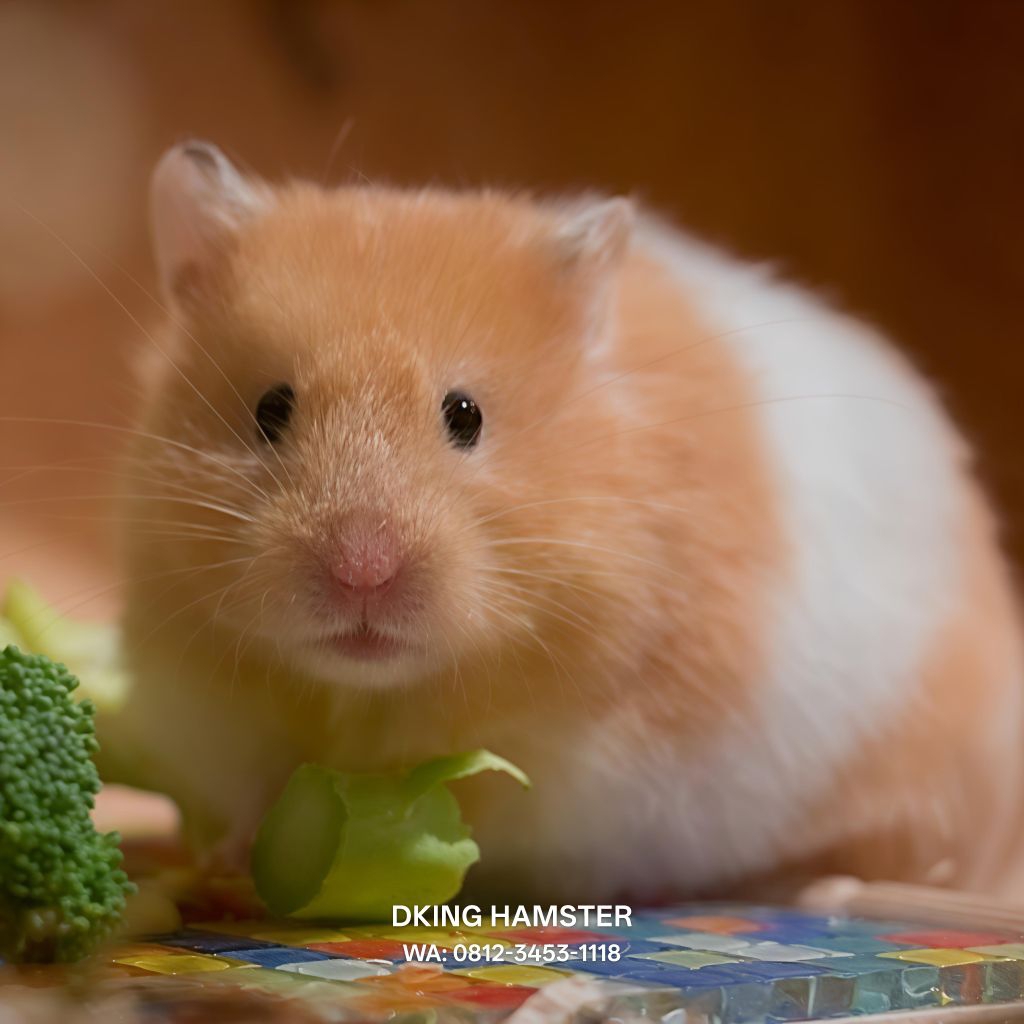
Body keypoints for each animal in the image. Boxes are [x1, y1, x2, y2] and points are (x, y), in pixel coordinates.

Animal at [112, 140, 1024, 902]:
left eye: (466, 415)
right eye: (270, 409)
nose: (361, 571)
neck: (373, 695)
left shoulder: (603, 768)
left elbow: (496, 801)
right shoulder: (217, 710)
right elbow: (255, 793)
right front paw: (236, 862)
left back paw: (822, 889)